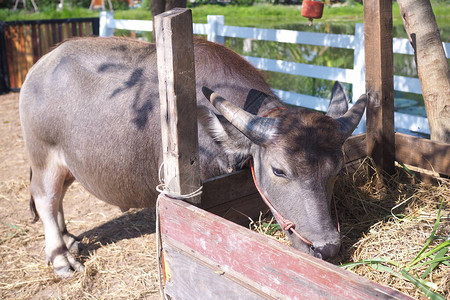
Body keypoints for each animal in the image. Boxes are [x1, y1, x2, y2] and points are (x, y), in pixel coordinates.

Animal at [19, 36, 368, 278]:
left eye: (337, 169)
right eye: (279, 170)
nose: (326, 247)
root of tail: (38, 68)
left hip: (68, 163)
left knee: (59, 197)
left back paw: (69, 239)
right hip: (43, 154)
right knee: (46, 197)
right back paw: (61, 258)